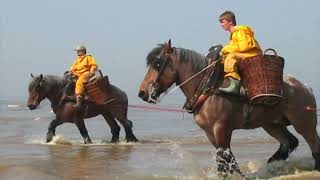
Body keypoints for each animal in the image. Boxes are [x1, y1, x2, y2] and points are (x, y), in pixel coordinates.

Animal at [139, 40, 318, 176]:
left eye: (157, 63)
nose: (142, 93)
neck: (208, 87)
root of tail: (305, 87)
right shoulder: (209, 132)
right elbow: (226, 160)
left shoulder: (222, 128)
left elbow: (224, 159)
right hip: (271, 124)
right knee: (289, 142)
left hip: (305, 124)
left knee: (314, 145)